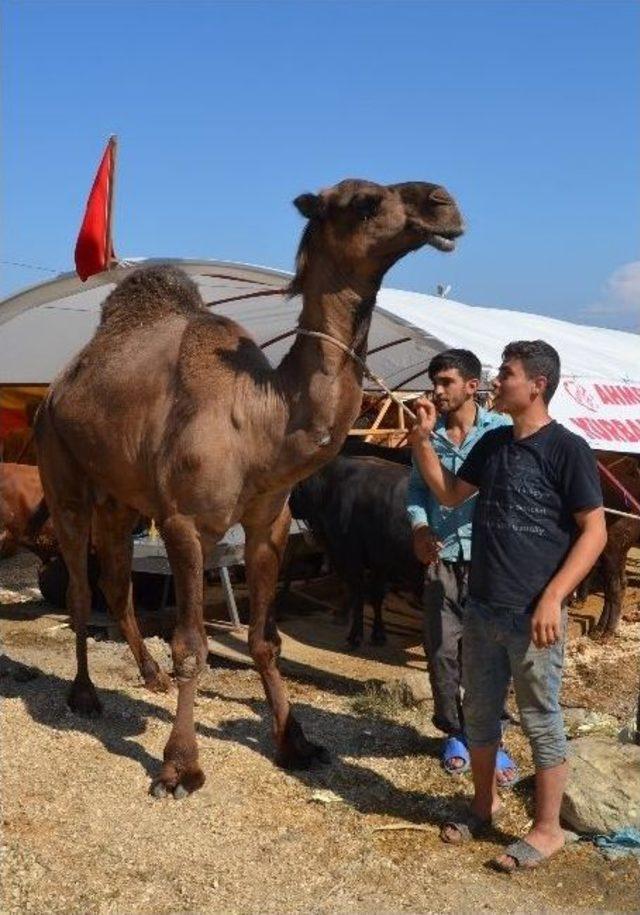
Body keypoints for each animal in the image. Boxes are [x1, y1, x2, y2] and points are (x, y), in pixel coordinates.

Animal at [288, 442, 420, 644]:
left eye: (297, 481)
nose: (289, 505)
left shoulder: (349, 555)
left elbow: (356, 592)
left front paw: (354, 634)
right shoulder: (379, 560)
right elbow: (375, 594)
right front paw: (378, 635)